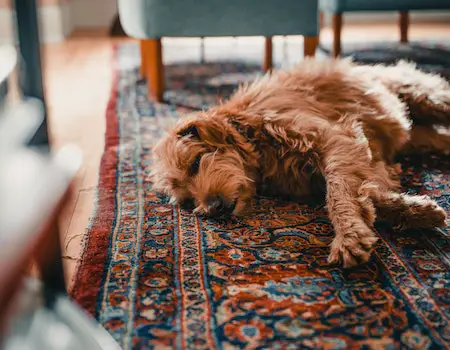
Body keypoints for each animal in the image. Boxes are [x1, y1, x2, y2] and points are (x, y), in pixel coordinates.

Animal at [152, 59, 450, 268]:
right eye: (187, 201)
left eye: (196, 163)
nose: (213, 208)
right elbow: (370, 194)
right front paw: (417, 211)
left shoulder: (337, 139)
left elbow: (339, 194)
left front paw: (348, 236)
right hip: (419, 136)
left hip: (425, 97)